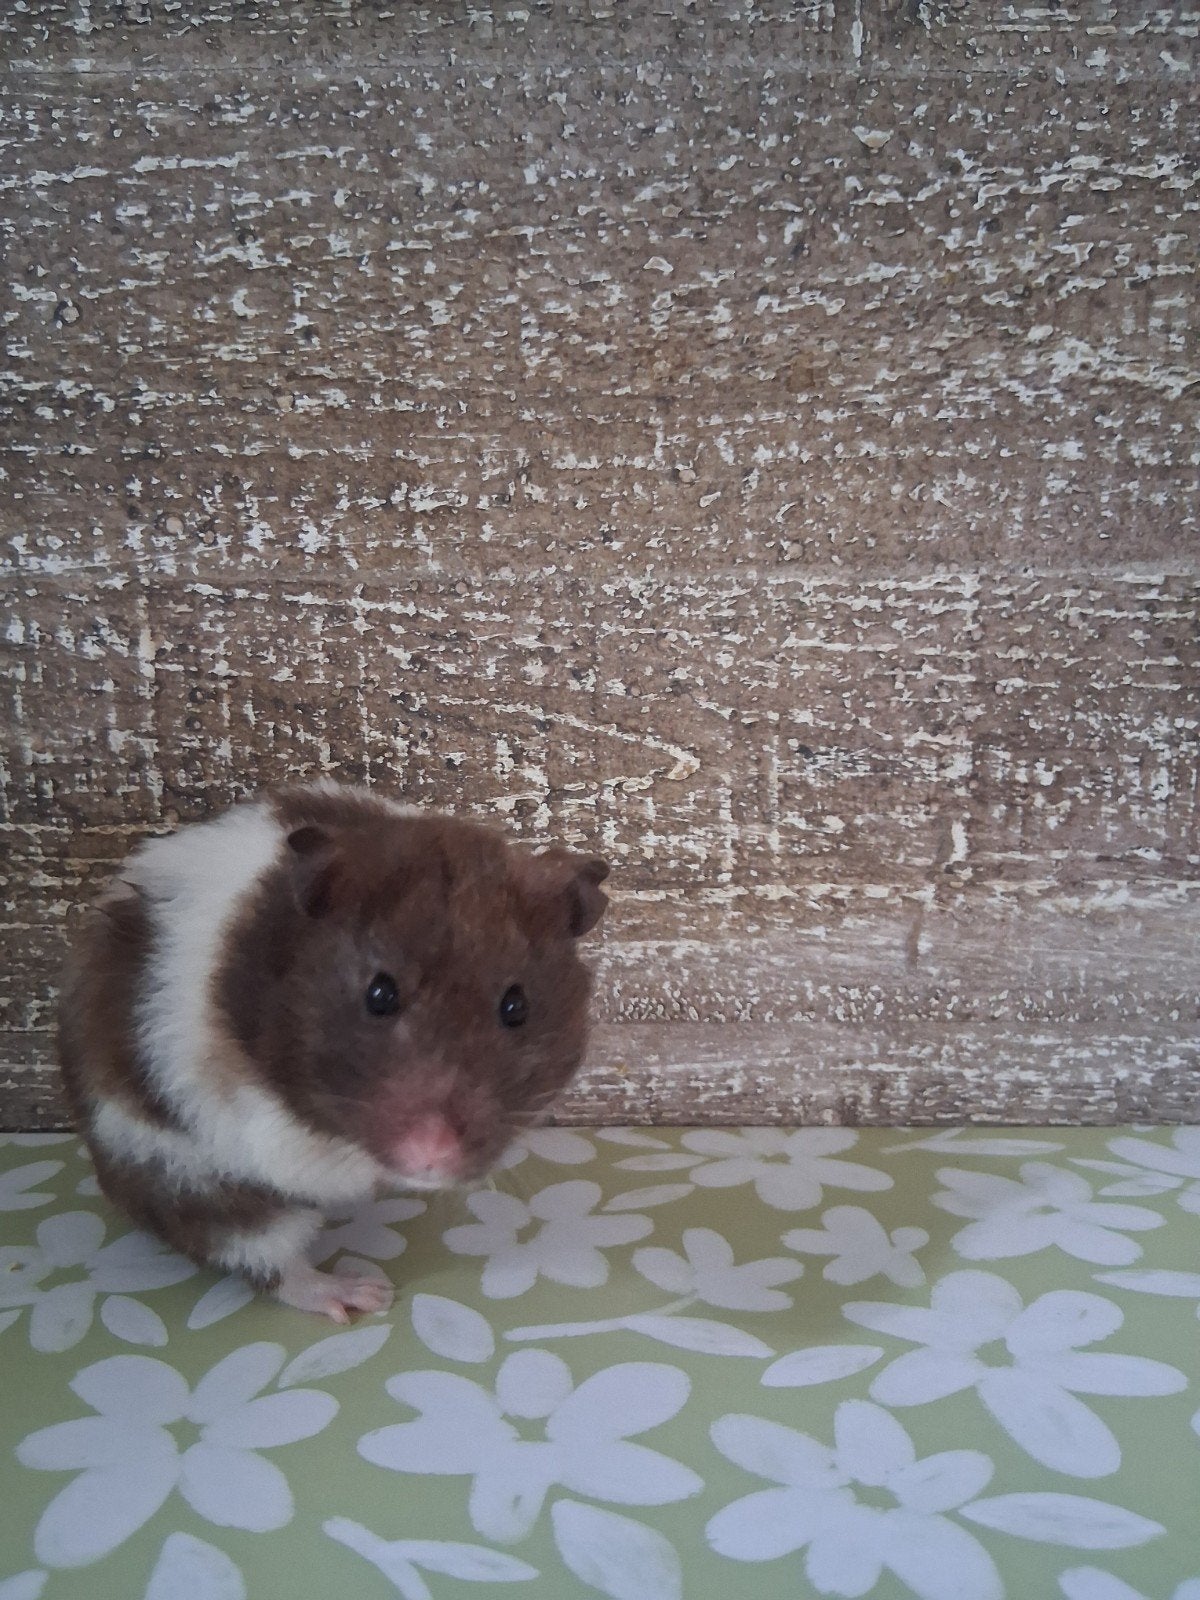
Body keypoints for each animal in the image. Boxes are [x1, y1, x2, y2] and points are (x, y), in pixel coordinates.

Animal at [58, 782, 609, 1321]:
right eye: (379, 994)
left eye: (517, 1006)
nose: (431, 1158)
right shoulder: (260, 1128)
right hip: (194, 1186)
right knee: (261, 1258)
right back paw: (360, 1295)